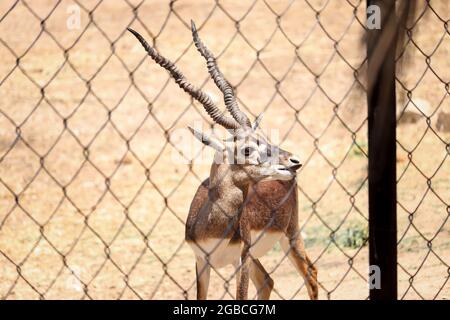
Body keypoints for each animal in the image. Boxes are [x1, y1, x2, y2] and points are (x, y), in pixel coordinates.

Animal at [128, 21, 318, 300]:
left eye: (264, 137)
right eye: (247, 149)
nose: (293, 161)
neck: (213, 222)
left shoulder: (242, 259)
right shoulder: (201, 262)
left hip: (290, 235)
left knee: (310, 274)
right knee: (268, 280)